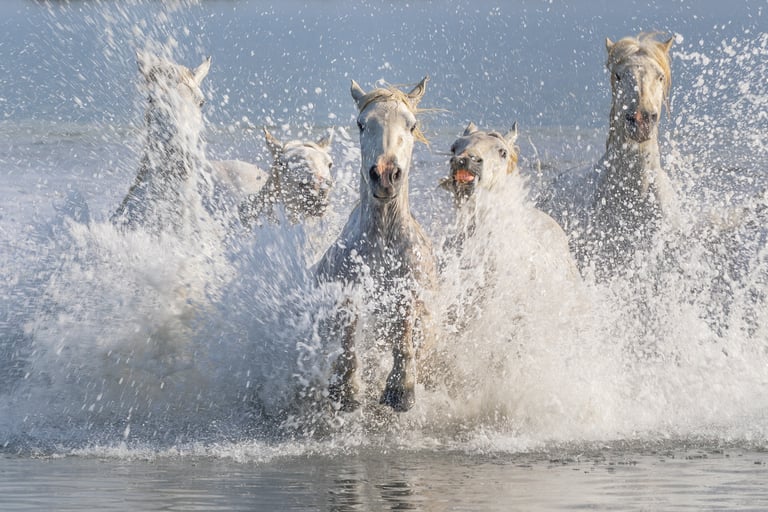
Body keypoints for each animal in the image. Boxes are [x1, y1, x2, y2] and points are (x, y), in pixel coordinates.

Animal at [315, 77, 437, 412]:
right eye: (361, 124)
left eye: (411, 124)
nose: (384, 175)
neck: (383, 242)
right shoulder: (347, 291)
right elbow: (348, 334)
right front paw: (347, 390)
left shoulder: (407, 291)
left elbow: (403, 333)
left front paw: (401, 389)